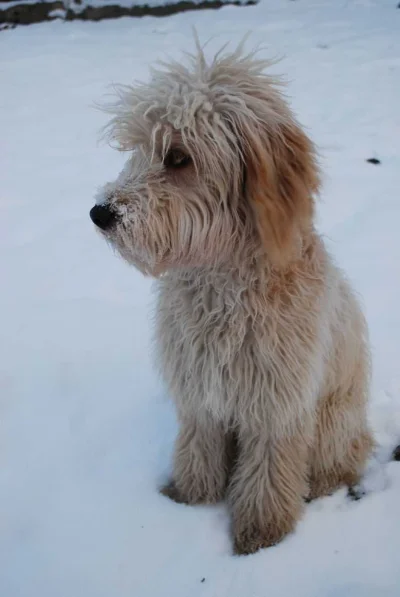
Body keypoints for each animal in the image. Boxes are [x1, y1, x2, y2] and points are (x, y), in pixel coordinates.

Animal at [90, 40, 372, 556]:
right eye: (141, 149)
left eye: (179, 157)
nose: (100, 213)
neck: (222, 283)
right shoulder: (199, 390)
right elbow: (197, 450)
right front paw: (190, 498)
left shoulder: (278, 403)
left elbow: (269, 472)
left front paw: (262, 532)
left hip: (334, 421)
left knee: (341, 458)